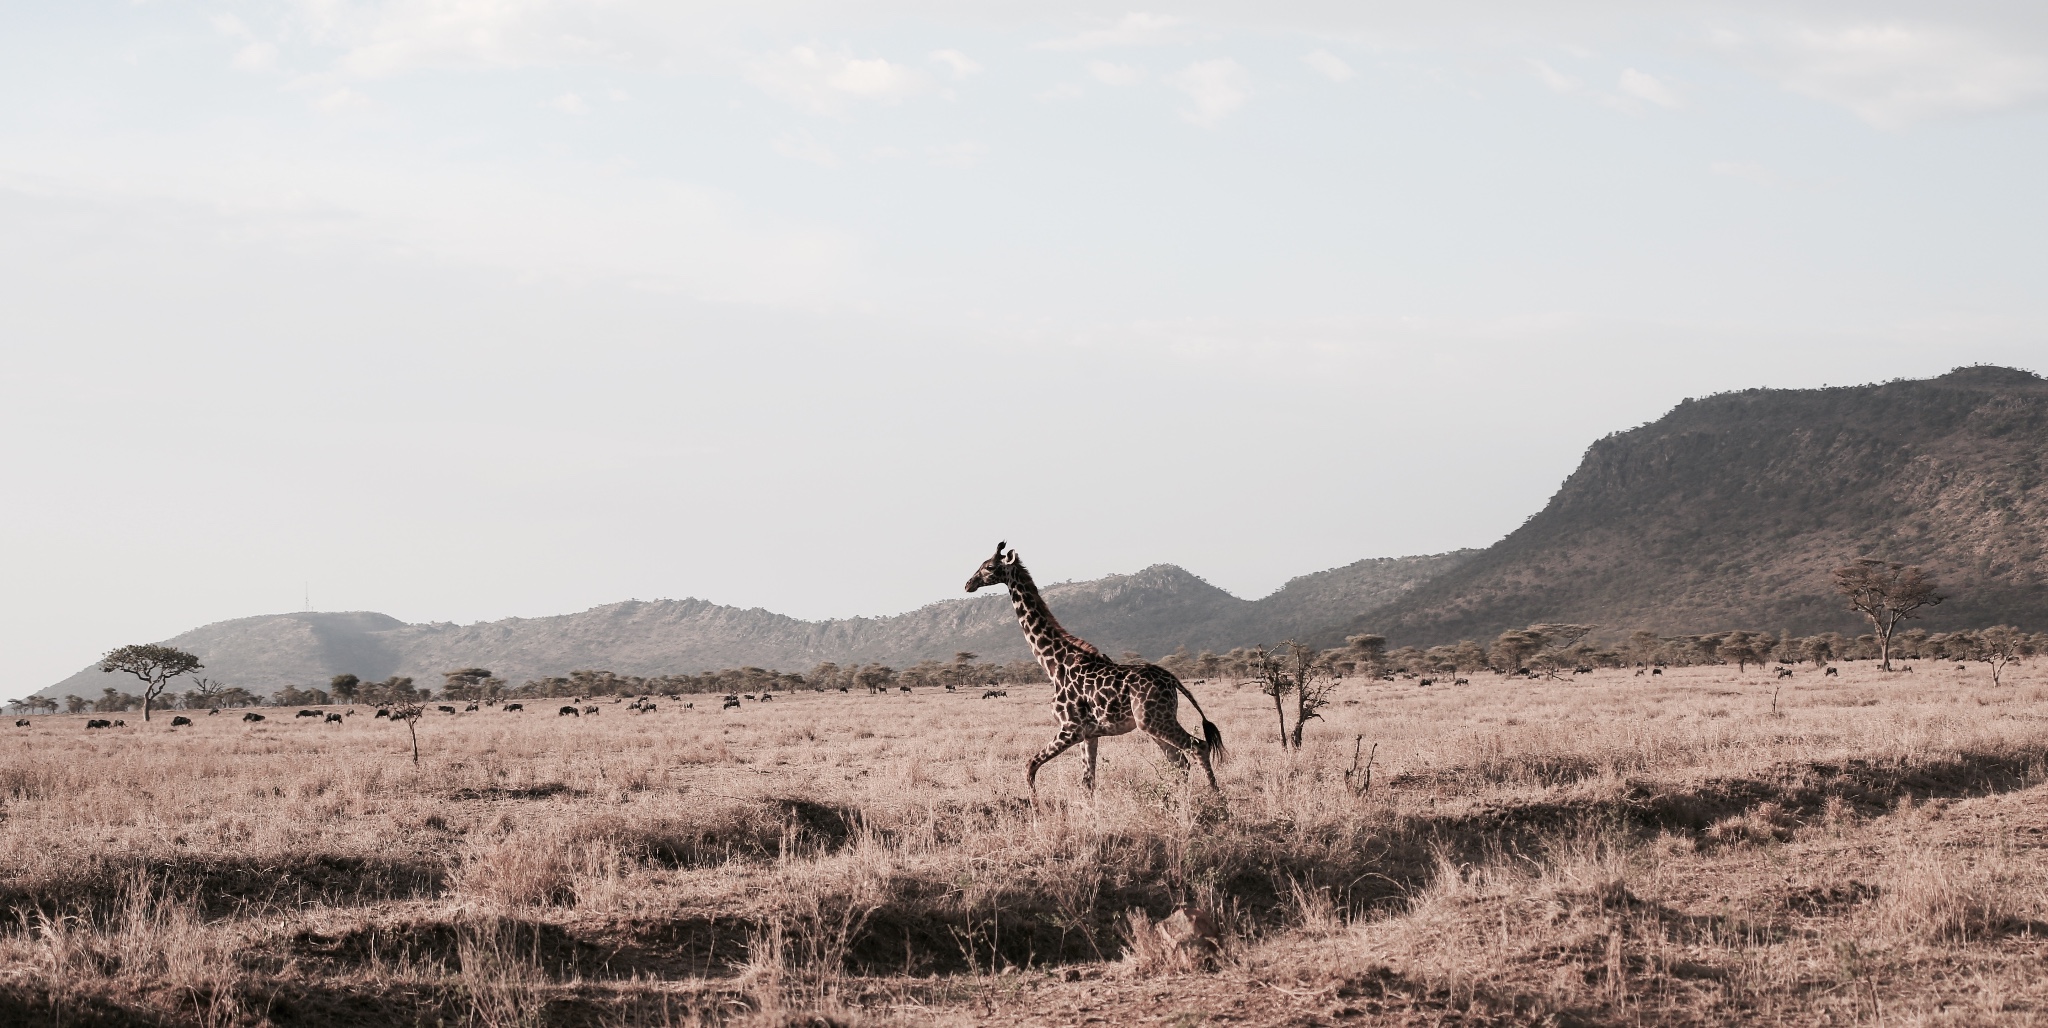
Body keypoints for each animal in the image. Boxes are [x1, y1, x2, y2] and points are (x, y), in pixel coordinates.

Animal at [966, 540, 1220, 790]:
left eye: (989, 567)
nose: (969, 584)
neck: (1054, 664)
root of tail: (1172, 679)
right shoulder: (1089, 734)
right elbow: (1088, 781)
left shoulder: (1071, 728)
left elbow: (1030, 766)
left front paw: (1033, 803)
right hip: (1153, 724)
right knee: (1180, 762)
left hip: (1154, 721)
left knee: (1198, 747)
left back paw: (1215, 796)